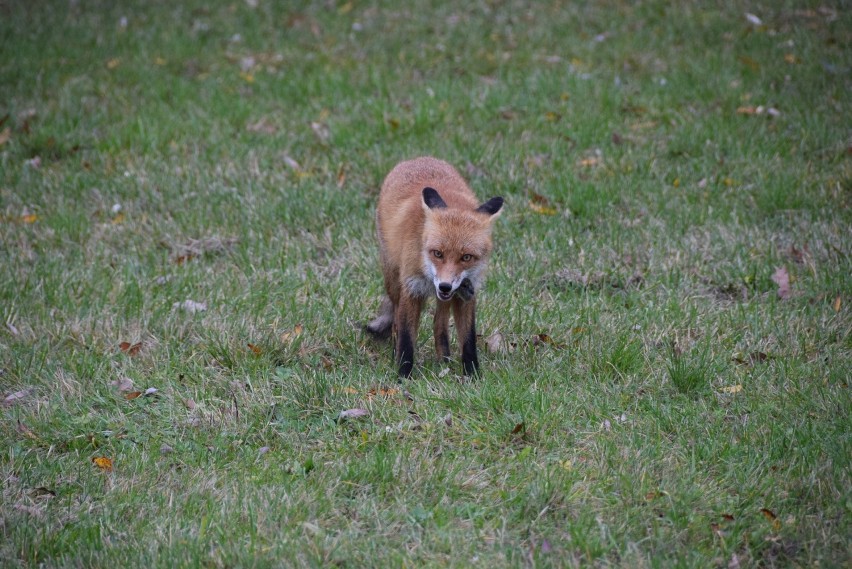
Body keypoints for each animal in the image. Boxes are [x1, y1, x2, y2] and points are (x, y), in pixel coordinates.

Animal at [364, 155, 500, 378]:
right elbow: (407, 339)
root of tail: (418, 158)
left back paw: (444, 358)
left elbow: (469, 340)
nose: (445, 286)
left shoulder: (467, 293)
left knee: (439, 322)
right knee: (396, 321)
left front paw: (473, 375)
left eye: (466, 257)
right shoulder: (411, 288)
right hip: (393, 282)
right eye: (438, 253)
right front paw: (403, 376)